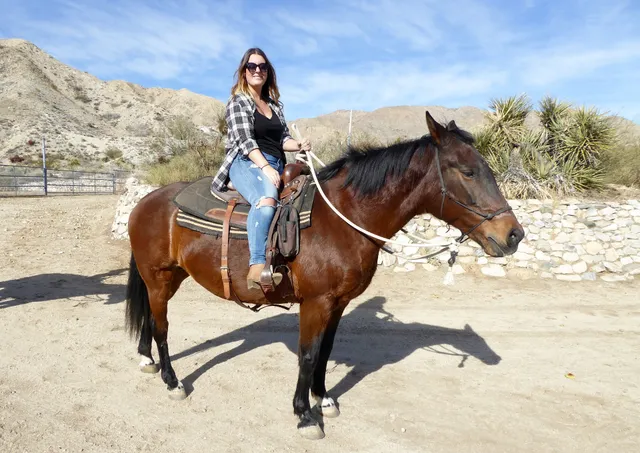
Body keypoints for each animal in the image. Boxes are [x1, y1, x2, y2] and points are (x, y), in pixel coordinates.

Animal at [124, 111, 524, 440]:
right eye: (467, 171)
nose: (514, 235)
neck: (343, 218)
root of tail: (145, 201)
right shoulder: (315, 302)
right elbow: (308, 354)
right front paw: (304, 415)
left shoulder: (339, 303)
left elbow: (326, 350)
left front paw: (324, 399)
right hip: (159, 278)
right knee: (162, 327)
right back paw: (172, 380)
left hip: (169, 277)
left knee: (151, 320)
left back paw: (146, 359)